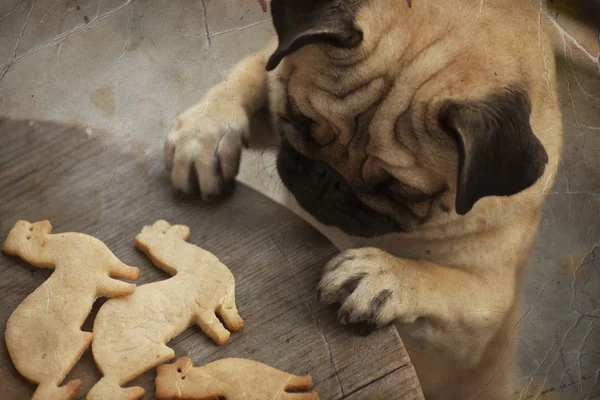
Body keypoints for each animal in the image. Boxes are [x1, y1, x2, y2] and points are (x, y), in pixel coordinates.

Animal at [164, 1, 564, 398]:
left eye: (399, 191)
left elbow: (443, 282)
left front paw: (383, 275)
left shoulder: (484, 317)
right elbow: (250, 74)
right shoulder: (276, 73)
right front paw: (203, 135)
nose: (330, 179)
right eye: (299, 119)